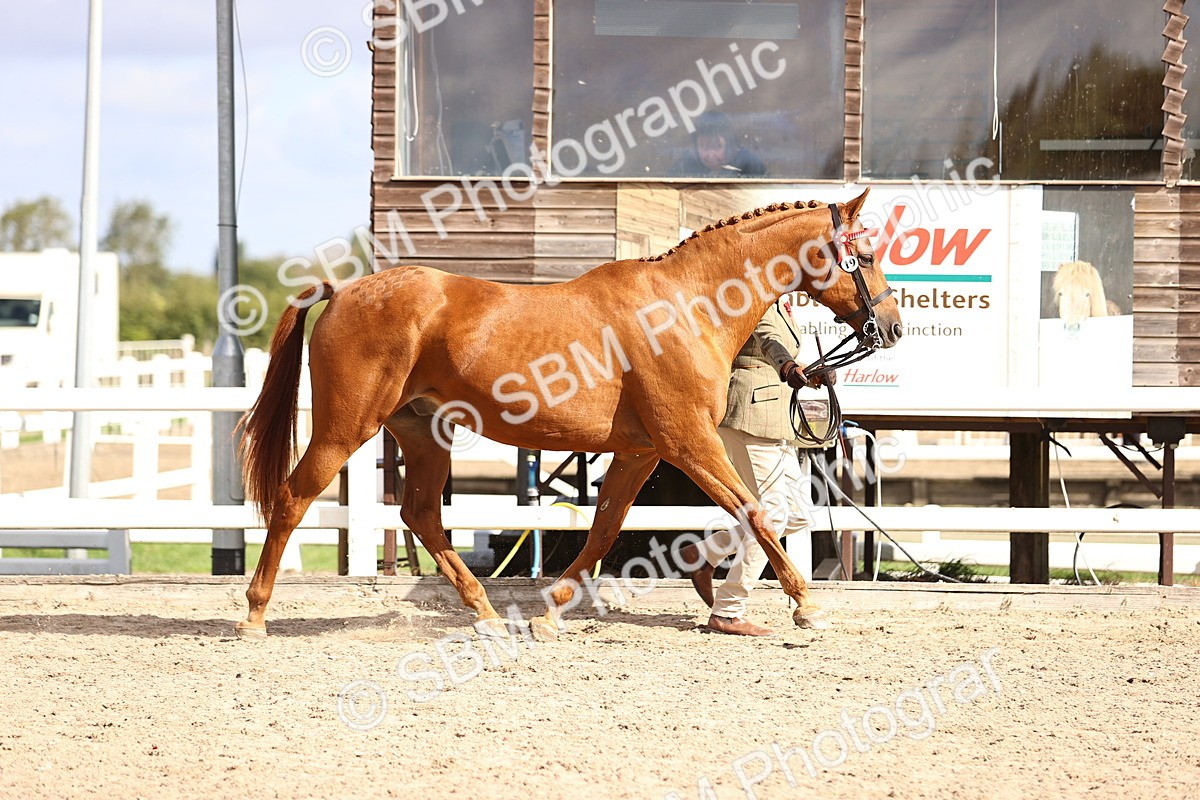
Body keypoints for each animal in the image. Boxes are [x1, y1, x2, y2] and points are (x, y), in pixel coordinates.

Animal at [235, 187, 901, 641]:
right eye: (865, 256)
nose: (891, 327)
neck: (687, 306)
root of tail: (344, 290)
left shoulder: (640, 452)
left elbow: (605, 529)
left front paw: (551, 614)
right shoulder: (688, 441)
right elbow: (754, 512)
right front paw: (806, 605)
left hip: (422, 432)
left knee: (420, 514)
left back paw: (484, 613)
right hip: (346, 428)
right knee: (293, 499)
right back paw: (254, 615)